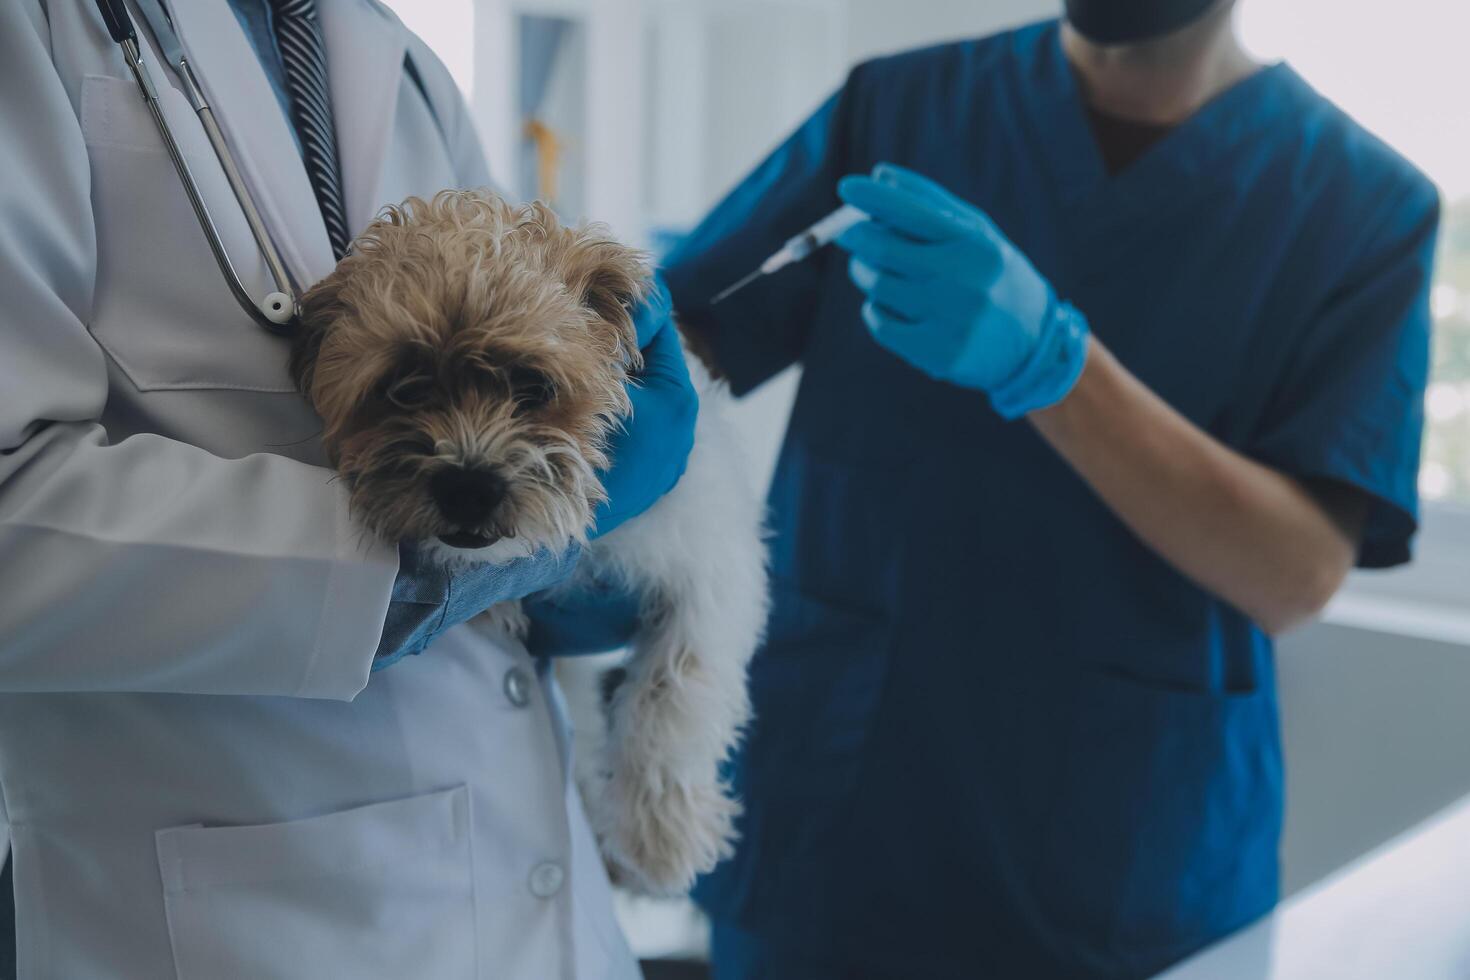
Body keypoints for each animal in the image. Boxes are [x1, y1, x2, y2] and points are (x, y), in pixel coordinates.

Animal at [288, 189, 770, 899]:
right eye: (404, 387)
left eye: (534, 388)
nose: (467, 486)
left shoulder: (711, 570)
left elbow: (673, 694)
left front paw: (659, 841)